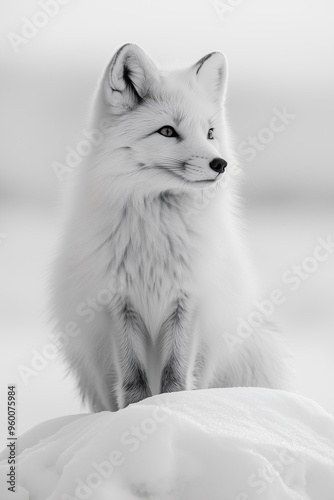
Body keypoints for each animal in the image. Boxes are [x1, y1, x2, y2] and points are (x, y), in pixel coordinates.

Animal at [52, 42, 290, 410]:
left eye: (210, 133)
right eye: (167, 131)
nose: (220, 164)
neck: (156, 233)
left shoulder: (188, 300)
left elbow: (175, 375)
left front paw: (173, 408)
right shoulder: (118, 303)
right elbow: (133, 379)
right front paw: (136, 412)